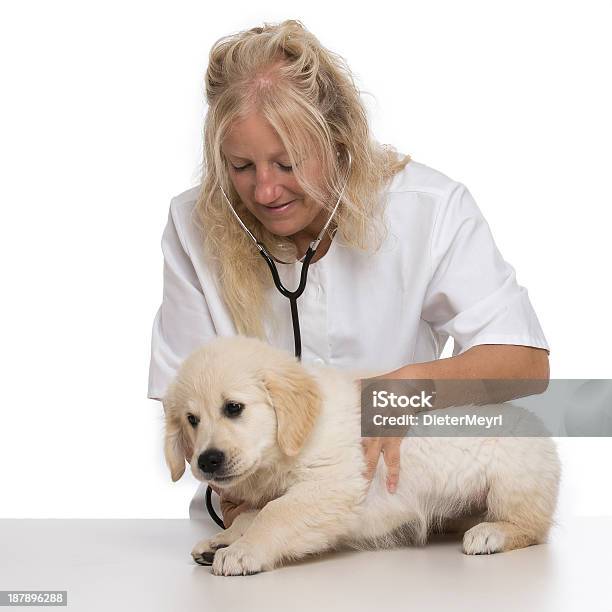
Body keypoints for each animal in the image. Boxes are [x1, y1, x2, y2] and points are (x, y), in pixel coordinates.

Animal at [161, 338, 560, 576]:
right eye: (191, 420)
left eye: (234, 407)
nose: (207, 461)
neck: (299, 435)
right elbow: (250, 514)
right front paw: (222, 540)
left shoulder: (333, 486)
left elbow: (275, 513)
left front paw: (243, 551)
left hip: (514, 478)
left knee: (533, 528)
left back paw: (492, 533)